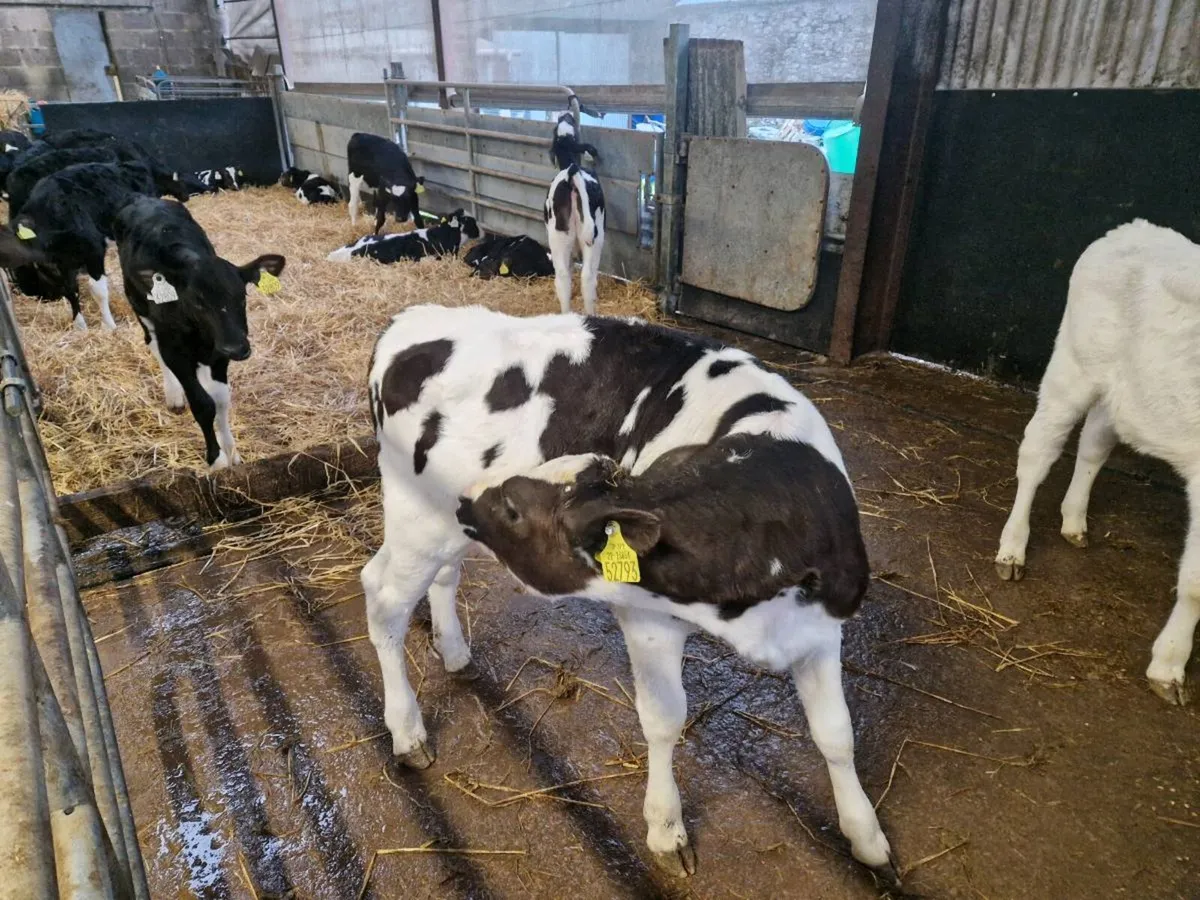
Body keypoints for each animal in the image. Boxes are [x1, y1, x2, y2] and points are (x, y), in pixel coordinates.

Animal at [113, 196, 285, 471]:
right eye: (197, 302)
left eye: (242, 295)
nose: (237, 348)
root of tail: (143, 199)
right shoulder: (176, 352)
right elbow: (203, 404)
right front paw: (216, 459)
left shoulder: (219, 355)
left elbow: (221, 400)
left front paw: (231, 451)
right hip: (139, 305)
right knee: (152, 343)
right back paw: (174, 395)